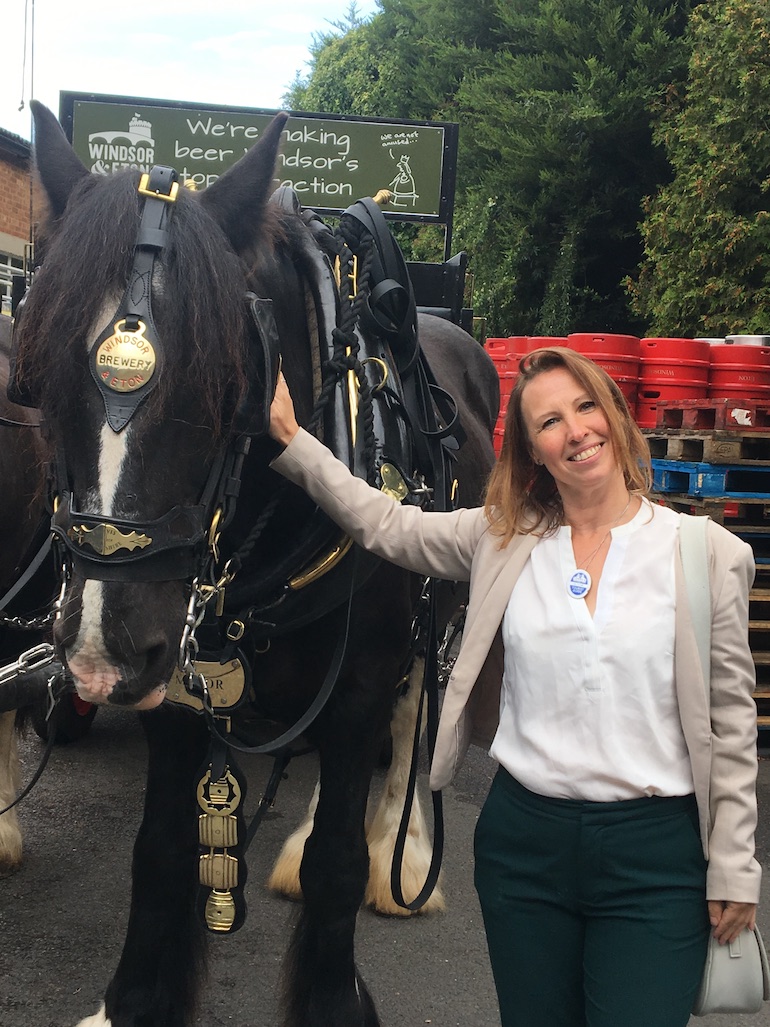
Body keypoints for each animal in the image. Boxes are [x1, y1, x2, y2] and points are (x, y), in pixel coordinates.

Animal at [16, 102, 501, 1027]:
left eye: (224, 383)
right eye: (40, 376)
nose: (98, 654)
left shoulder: (357, 681)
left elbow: (339, 858)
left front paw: (332, 996)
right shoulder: (176, 680)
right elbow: (161, 847)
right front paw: (134, 998)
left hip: (440, 610)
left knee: (410, 724)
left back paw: (403, 855)